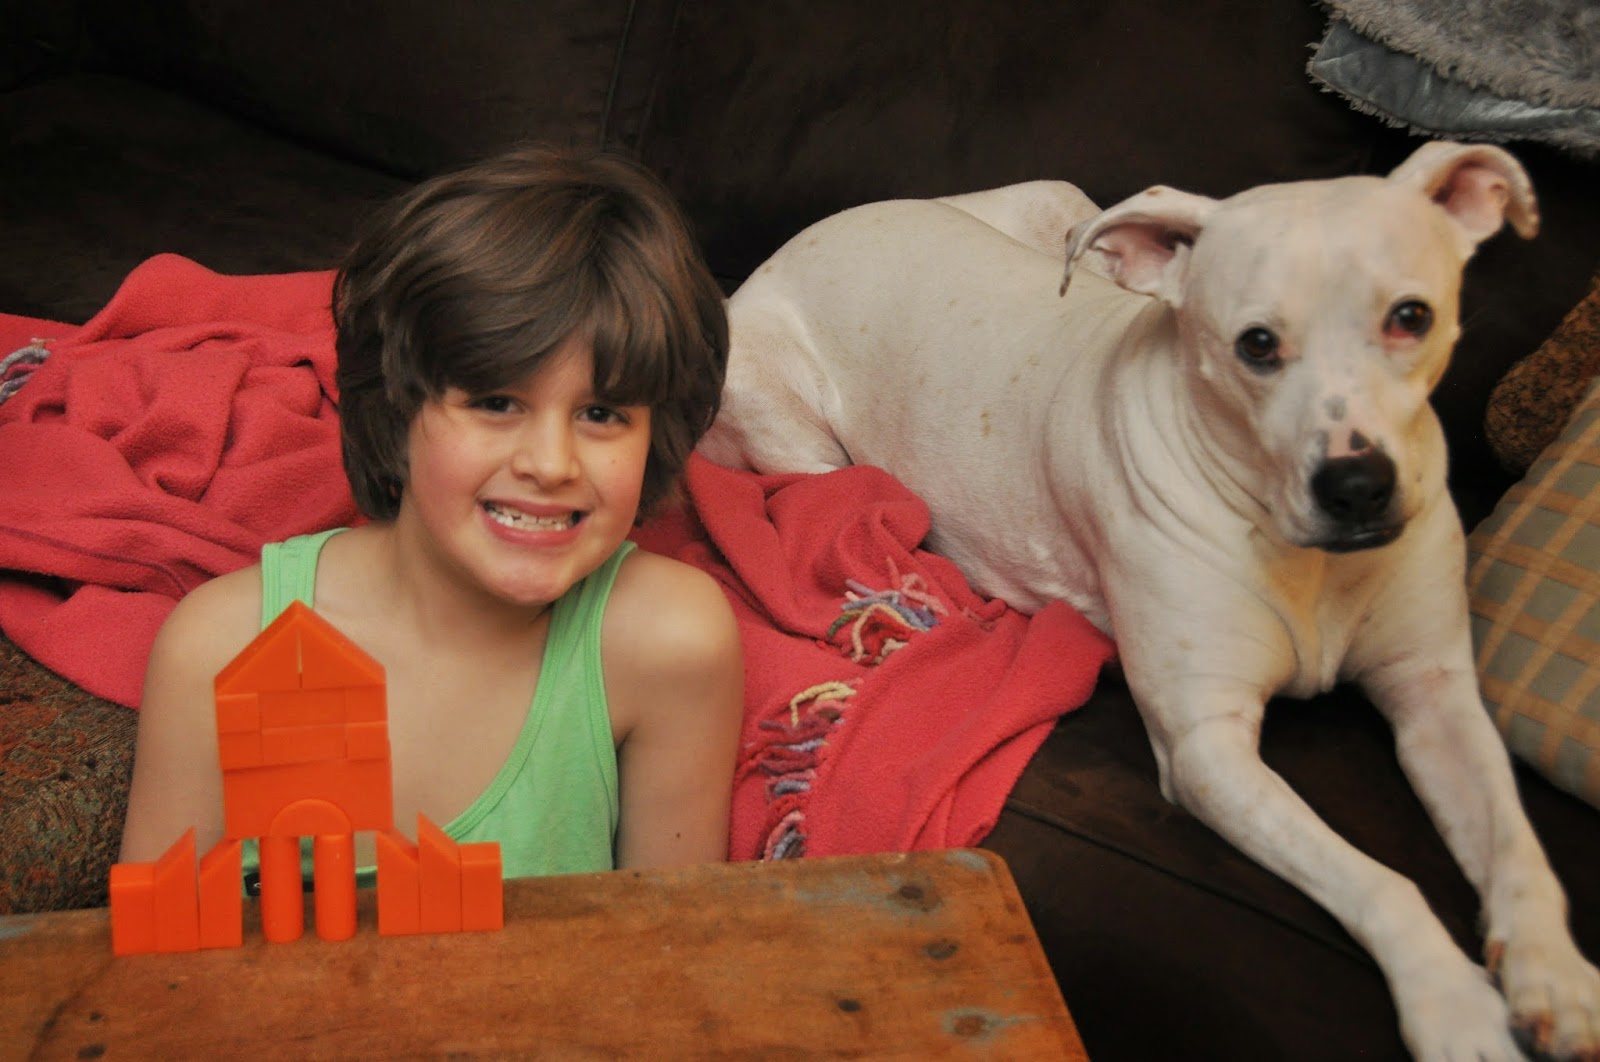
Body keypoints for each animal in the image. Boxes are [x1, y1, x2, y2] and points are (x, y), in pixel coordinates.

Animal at [698, 141, 1600, 1060]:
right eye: (1256, 344)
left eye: (1411, 317)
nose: (1357, 487)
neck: (1302, 556)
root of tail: (789, 248)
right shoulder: (1208, 749)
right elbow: (1377, 879)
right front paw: (1452, 1002)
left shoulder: (1436, 694)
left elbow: (1516, 841)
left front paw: (1554, 974)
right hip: (793, 434)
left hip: (1058, 202)